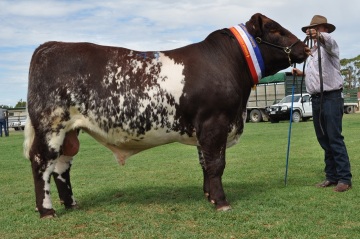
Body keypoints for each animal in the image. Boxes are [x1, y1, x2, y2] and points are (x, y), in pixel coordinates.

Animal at [23, 13, 308, 218]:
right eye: (275, 29)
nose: (305, 48)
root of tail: (49, 46)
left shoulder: (204, 129)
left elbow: (205, 164)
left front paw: (209, 196)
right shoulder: (215, 122)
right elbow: (217, 164)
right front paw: (221, 202)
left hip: (70, 130)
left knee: (62, 166)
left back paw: (71, 204)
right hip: (52, 125)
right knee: (42, 163)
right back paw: (47, 210)